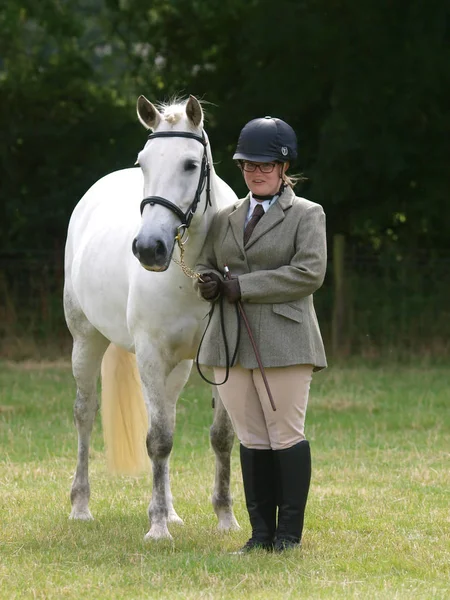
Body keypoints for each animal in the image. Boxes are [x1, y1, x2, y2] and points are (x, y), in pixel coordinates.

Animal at [63, 96, 241, 540]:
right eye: (143, 163)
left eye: (190, 164)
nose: (148, 248)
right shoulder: (149, 354)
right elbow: (158, 439)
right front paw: (158, 527)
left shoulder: (220, 358)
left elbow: (221, 437)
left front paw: (225, 518)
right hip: (86, 341)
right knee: (85, 413)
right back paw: (81, 507)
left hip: (176, 368)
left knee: (168, 413)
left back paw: (173, 511)